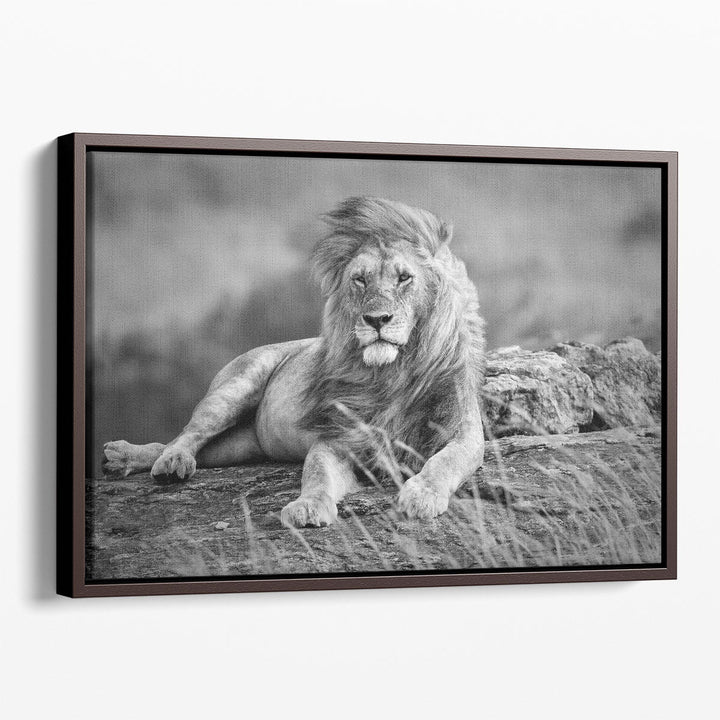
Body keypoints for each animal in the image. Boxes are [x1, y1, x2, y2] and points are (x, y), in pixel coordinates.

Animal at [103, 197, 486, 527]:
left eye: (404, 277)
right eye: (359, 279)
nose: (377, 319)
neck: (392, 373)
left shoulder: (464, 432)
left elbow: (444, 462)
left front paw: (422, 495)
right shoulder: (337, 437)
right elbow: (316, 474)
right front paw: (307, 507)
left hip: (239, 447)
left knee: (183, 446)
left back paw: (125, 458)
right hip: (235, 387)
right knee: (186, 435)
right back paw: (161, 461)